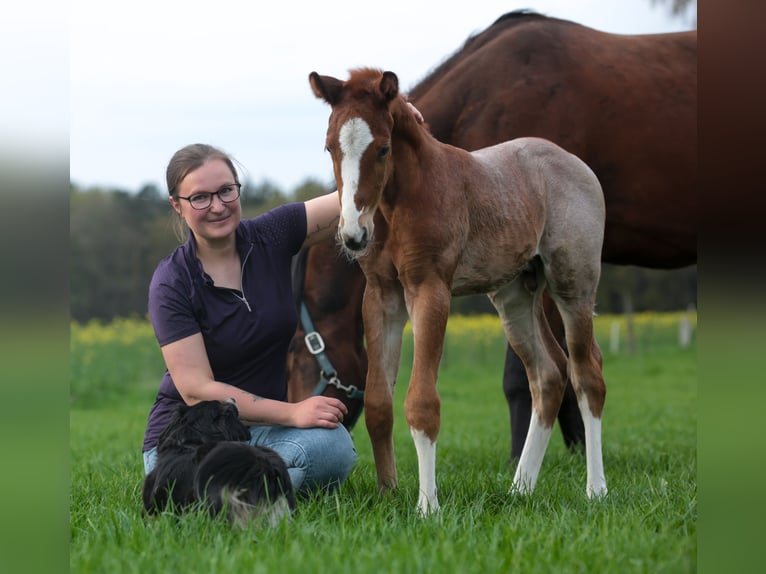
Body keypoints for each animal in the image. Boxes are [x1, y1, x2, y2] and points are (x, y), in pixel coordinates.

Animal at [310, 67, 608, 514]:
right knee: (548, 375)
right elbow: (379, 402)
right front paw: (388, 493)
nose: (353, 236)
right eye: (330, 147)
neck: (399, 204)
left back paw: (595, 490)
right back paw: (520, 488)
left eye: (383, 149)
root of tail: (577, 165)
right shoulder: (382, 296)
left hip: (574, 284)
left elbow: (421, 403)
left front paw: (426, 506)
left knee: (587, 375)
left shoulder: (430, 288)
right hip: (515, 296)